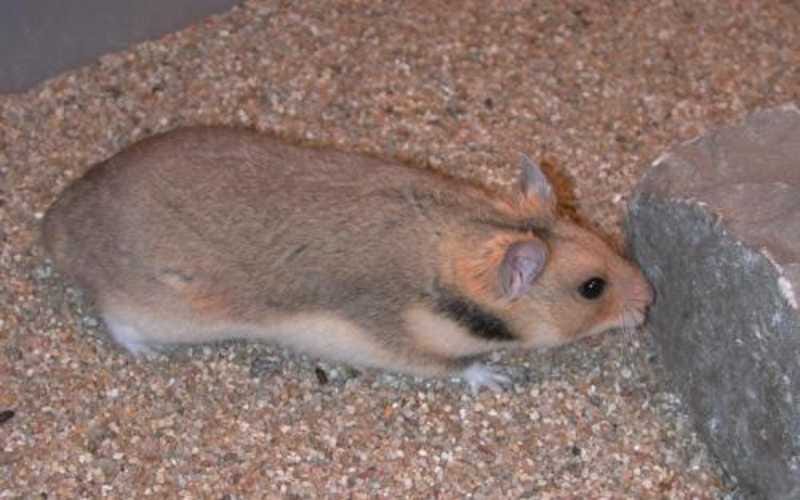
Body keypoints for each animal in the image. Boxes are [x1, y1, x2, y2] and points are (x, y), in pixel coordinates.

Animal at [43, 126, 652, 390]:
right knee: (116, 319)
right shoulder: (394, 342)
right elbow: (454, 365)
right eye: (592, 288)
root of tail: (54, 221)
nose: (650, 297)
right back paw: (143, 353)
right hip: (159, 311)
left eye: (601, 236)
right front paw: (495, 377)